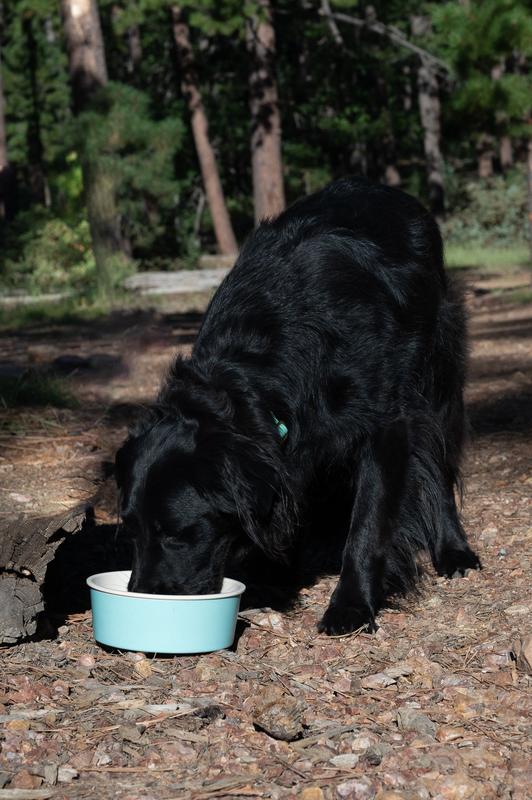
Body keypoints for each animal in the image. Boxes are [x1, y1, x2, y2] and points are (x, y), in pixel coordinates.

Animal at [114, 178, 480, 636]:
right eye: (129, 531)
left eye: (178, 534)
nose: (143, 596)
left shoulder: (386, 425)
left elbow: (368, 523)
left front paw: (351, 606)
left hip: (439, 374)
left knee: (442, 466)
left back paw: (454, 550)